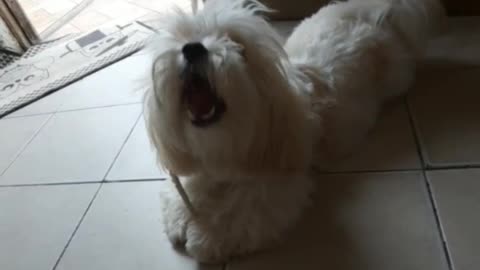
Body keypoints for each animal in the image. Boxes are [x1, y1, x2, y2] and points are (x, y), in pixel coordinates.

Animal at [144, 0, 444, 262]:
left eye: (237, 46)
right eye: (182, 38)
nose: (193, 49)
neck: (223, 146)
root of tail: (377, 11)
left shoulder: (276, 187)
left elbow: (243, 213)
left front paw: (208, 236)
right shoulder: (199, 165)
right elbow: (189, 190)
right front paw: (182, 213)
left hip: (397, 76)